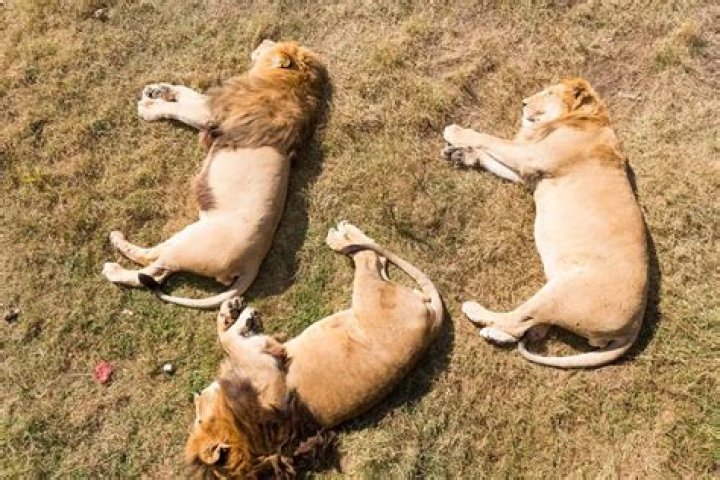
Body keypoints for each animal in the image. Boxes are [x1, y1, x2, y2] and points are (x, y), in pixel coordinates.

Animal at [102, 40, 328, 309]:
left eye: (274, 43)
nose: (264, 40)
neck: (288, 81)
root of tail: (253, 263)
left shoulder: (209, 114)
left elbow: (180, 108)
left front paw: (149, 107)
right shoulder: (210, 104)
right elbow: (185, 91)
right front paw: (158, 89)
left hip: (190, 242)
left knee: (151, 270)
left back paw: (114, 264)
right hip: (190, 234)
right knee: (155, 263)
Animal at [185, 221, 443, 477]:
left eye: (197, 417)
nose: (196, 393)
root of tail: (432, 324)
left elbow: (225, 336)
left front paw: (230, 311)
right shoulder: (268, 365)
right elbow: (229, 341)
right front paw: (242, 318)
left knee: (374, 257)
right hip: (369, 294)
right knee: (369, 258)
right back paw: (341, 236)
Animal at [442, 78, 648, 368]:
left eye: (549, 92)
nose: (524, 102)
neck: (587, 118)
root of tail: (634, 326)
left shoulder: (529, 157)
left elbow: (489, 139)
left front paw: (456, 132)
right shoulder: (527, 173)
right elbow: (489, 154)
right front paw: (462, 155)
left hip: (561, 292)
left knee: (518, 321)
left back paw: (479, 315)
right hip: (553, 286)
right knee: (533, 328)